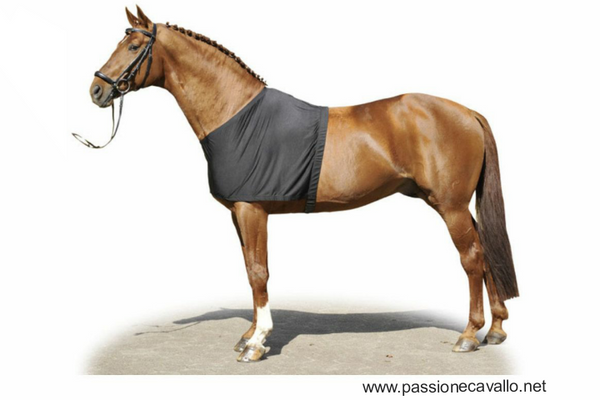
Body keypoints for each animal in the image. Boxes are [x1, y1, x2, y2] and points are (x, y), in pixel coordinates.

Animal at [79, 6, 518, 362]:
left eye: (135, 45)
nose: (97, 90)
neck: (236, 115)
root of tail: (467, 112)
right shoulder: (239, 214)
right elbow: (248, 268)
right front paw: (248, 335)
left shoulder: (252, 209)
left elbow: (259, 271)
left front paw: (257, 343)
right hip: (453, 205)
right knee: (486, 253)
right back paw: (495, 329)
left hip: (450, 206)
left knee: (472, 259)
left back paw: (468, 335)